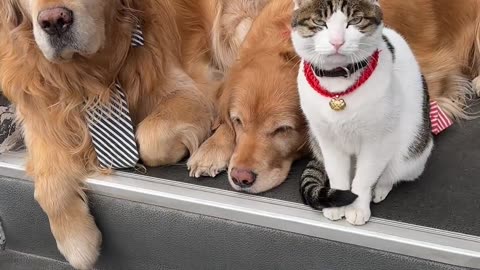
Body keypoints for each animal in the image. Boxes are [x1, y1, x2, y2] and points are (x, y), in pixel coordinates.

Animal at [290, 0, 434, 226]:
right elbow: (337, 173)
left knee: (390, 173)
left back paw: (380, 189)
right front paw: (338, 204)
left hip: (412, 153)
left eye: (355, 20)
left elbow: (365, 177)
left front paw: (357, 207)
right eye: (320, 22)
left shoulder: (377, 141)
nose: (337, 41)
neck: (338, 88)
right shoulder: (327, 139)